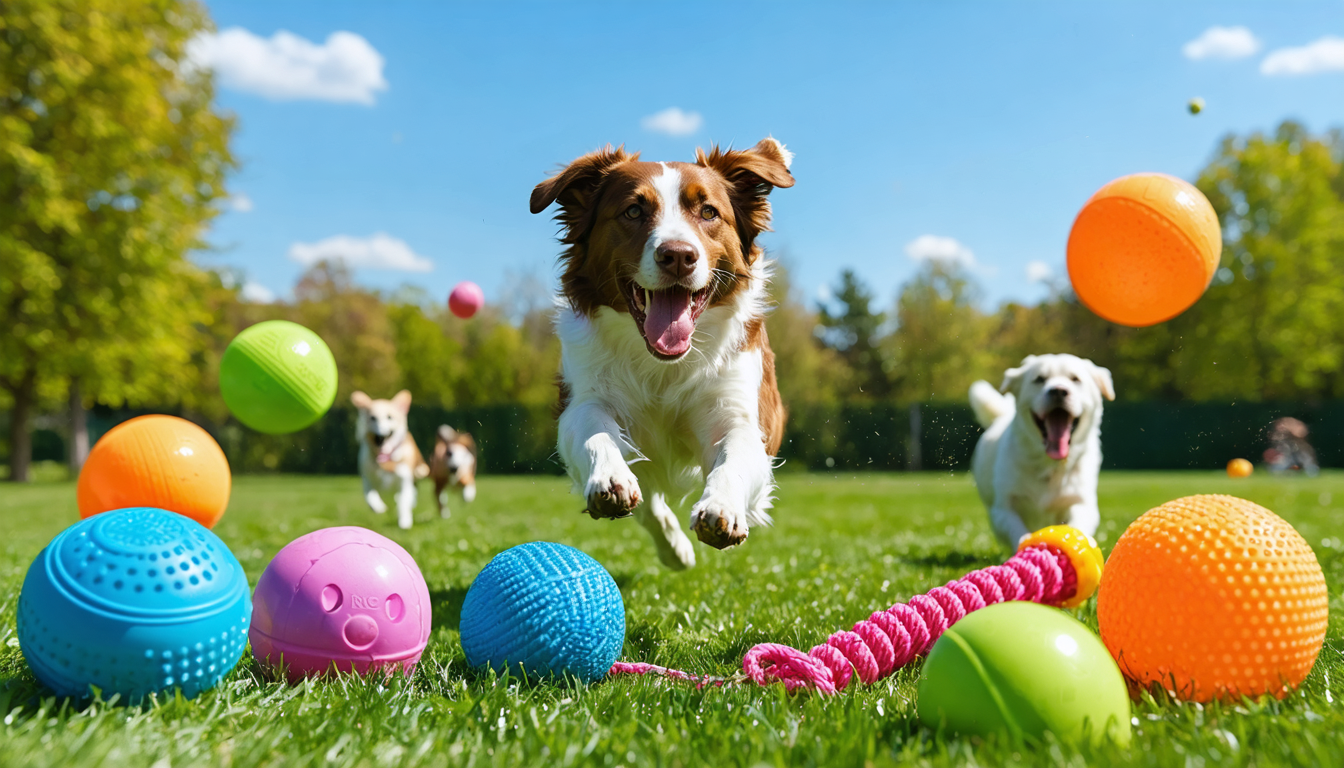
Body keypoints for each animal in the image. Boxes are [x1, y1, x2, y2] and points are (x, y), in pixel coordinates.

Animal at [349, 390, 427, 529]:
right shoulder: (367, 478)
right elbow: (370, 496)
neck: (385, 458)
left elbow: (404, 502)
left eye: (390, 417)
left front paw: (404, 521)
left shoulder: (404, 480)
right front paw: (378, 507)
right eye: (372, 418)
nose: (381, 432)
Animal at [529, 136, 790, 570]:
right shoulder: (583, 399)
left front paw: (721, 507)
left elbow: (734, 456)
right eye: (633, 211)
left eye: (708, 212)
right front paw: (610, 478)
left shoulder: (738, 411)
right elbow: (594, 433)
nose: (679, 255)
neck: (664, 365)